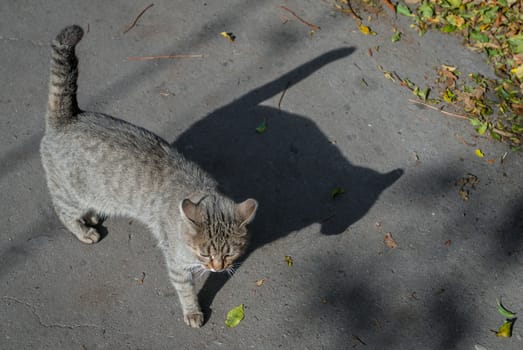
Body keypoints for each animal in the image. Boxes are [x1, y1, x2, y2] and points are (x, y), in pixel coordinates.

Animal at [40, 25, 258, 328]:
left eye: (229, 253)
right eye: (205, 253)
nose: (217, 267)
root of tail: (67, 118)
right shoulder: (177, 264)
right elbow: (185, 289)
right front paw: (193, 311)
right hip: (70, 195)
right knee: (63, 212)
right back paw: (84, 231)